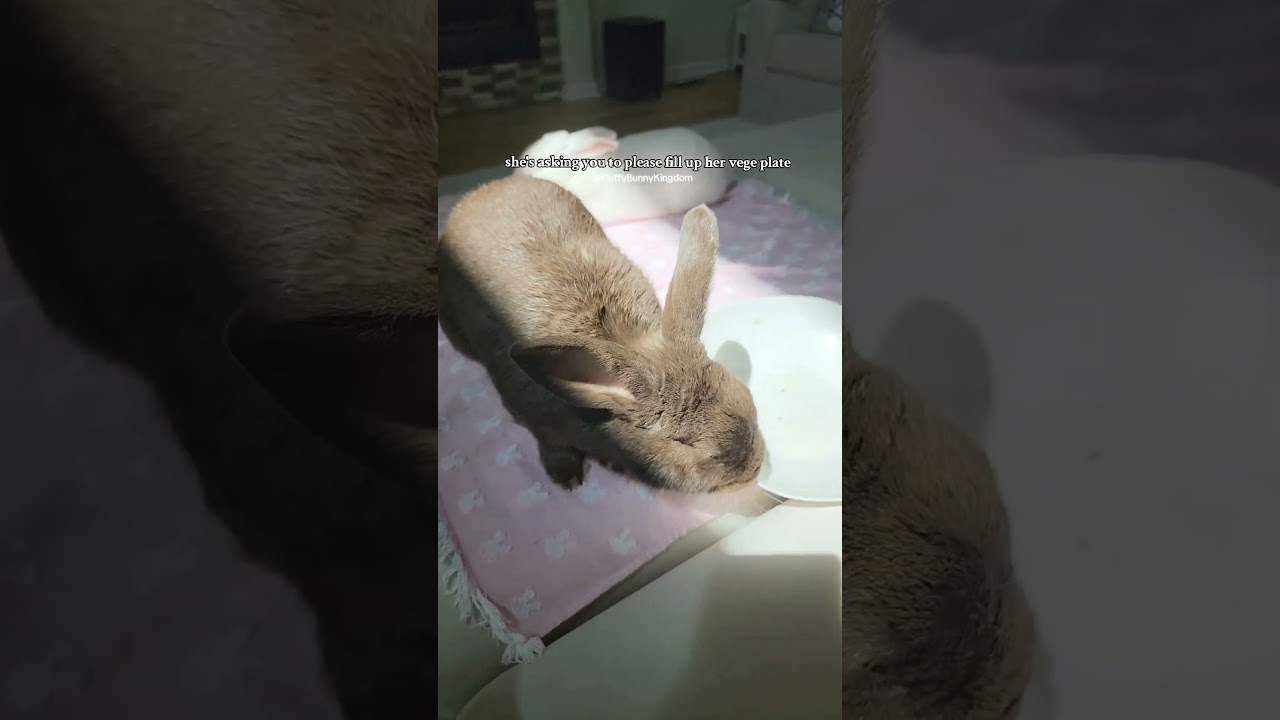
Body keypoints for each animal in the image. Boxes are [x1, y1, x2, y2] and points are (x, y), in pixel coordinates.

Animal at [438, 173, 765, 494]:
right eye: (692, 449)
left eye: (748, 397)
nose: (757, 466)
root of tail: (485, 190)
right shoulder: (531, 416)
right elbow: (551, 443)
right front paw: (568, 478)